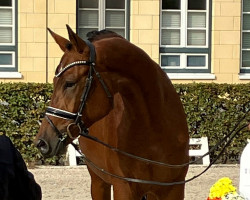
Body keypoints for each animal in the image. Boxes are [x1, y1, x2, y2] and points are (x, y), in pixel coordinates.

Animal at [34, 25, 188, 200]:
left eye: (69, 83)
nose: (41, 142)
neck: (154, 128)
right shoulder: (124, 188)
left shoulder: (174, 189)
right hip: (98, 180)